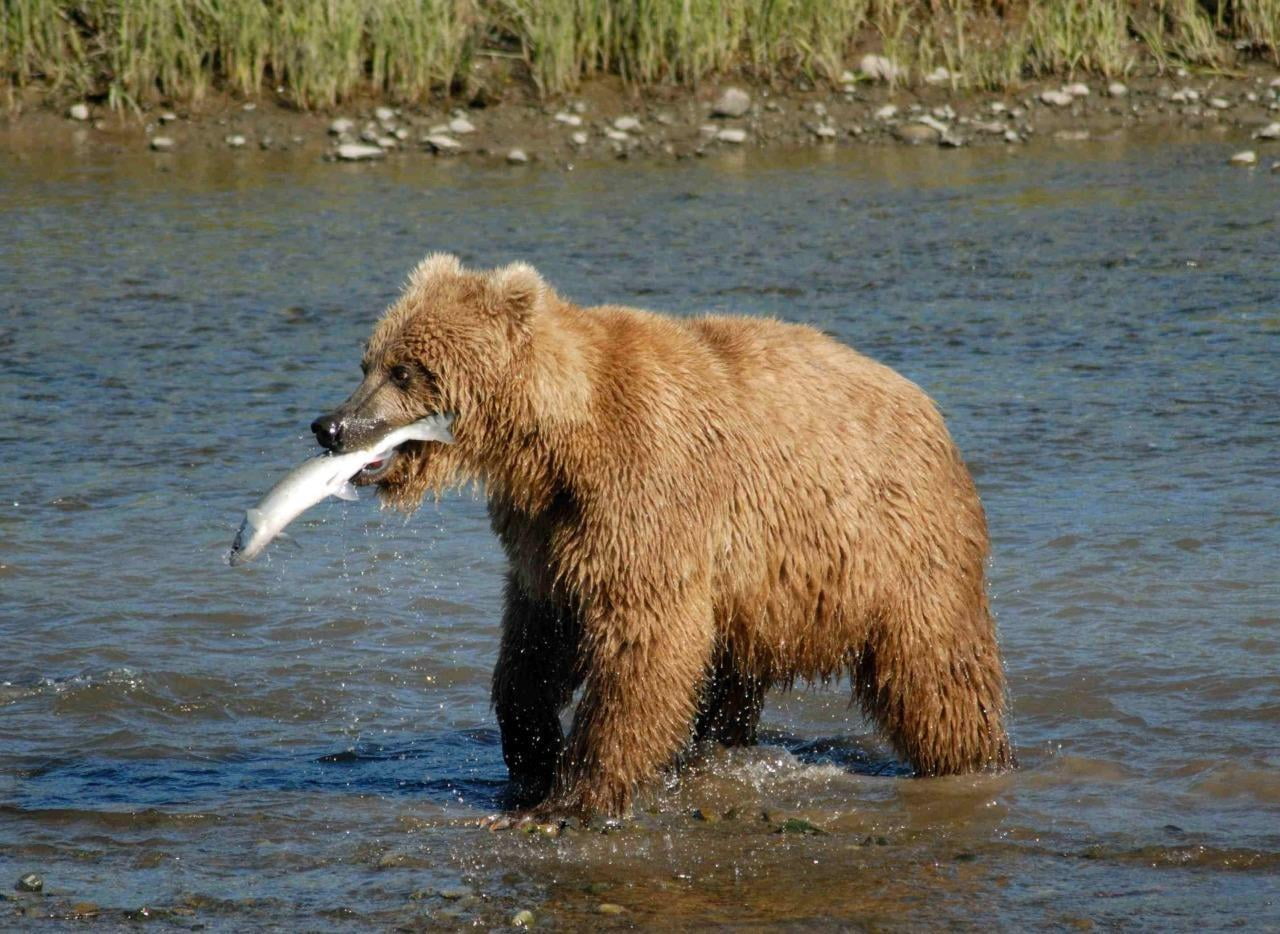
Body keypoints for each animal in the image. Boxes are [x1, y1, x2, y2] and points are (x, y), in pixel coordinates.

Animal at [309, 253, 1013, 820]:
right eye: (368, 361)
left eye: (406, 370)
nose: (330, 426)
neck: (551, 443)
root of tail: (930, 411)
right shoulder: (546, 532)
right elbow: (535, 642)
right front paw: (531, 756)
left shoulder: (646, 490)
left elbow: (643, 641)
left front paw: (572, 796)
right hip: (763, 593)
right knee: (732, 678)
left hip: (894, 545)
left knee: (936, 671)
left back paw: (974, 759)